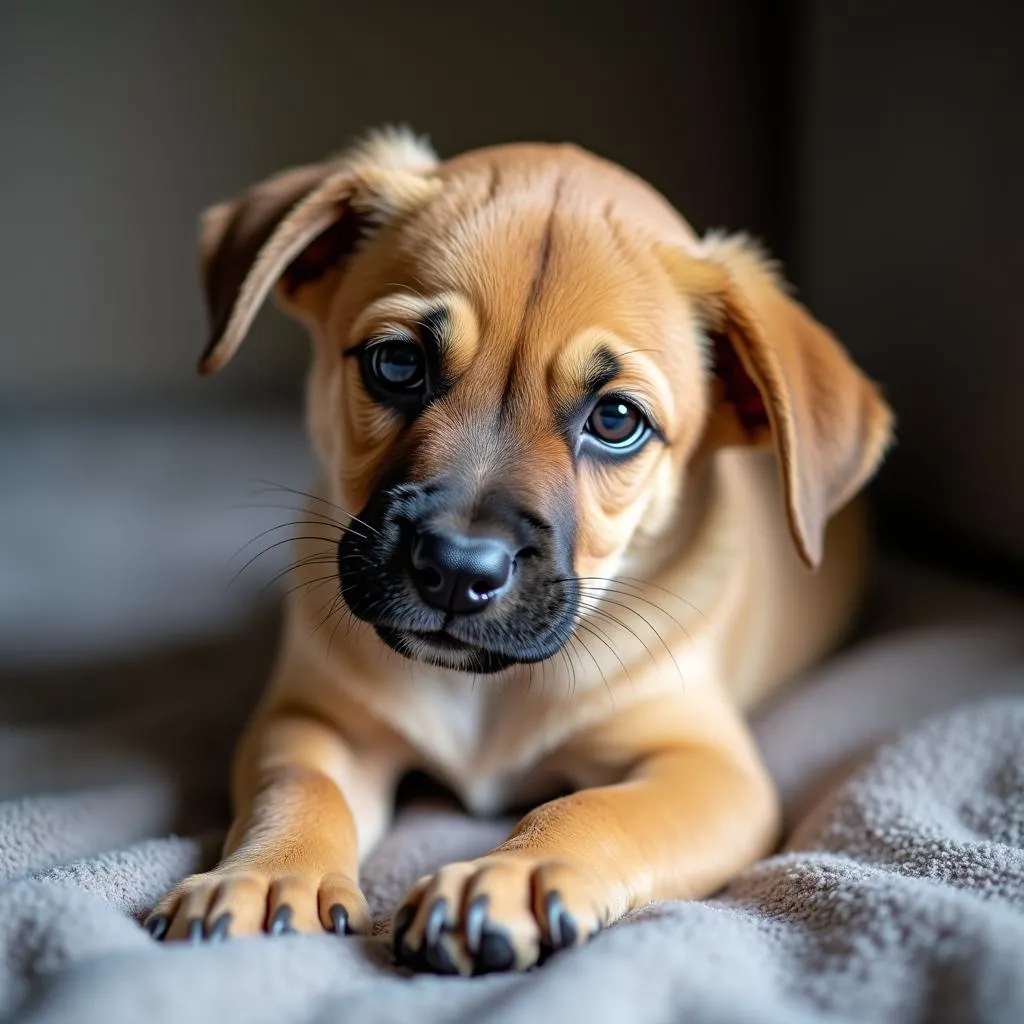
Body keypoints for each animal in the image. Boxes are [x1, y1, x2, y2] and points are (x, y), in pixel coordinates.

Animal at [144, 123, 888, 970]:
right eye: (397, 363)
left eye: (616, 419)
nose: (454, 572)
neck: (488, 693)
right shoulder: (314, 718)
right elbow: (299, 790)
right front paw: (268, 874)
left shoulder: (707, 768)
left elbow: (593, 809)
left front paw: (515, 876)